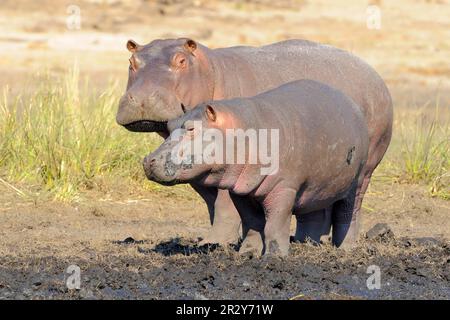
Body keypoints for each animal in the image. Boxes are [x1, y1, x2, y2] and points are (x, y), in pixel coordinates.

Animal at [143, 80, 370, 255]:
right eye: (170, 125)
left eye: (191, 128)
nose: (148, 160)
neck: (240, 129)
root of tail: (352, 104)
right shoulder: (240, 189)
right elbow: (252, 223)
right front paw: (247, 253)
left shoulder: (284, 188)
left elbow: (274, 226)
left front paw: (274, 257)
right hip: (316, 186)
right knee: (314, 214)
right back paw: (305, 244)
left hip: (357, 181)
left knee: (348, 214)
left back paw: (345, 249)